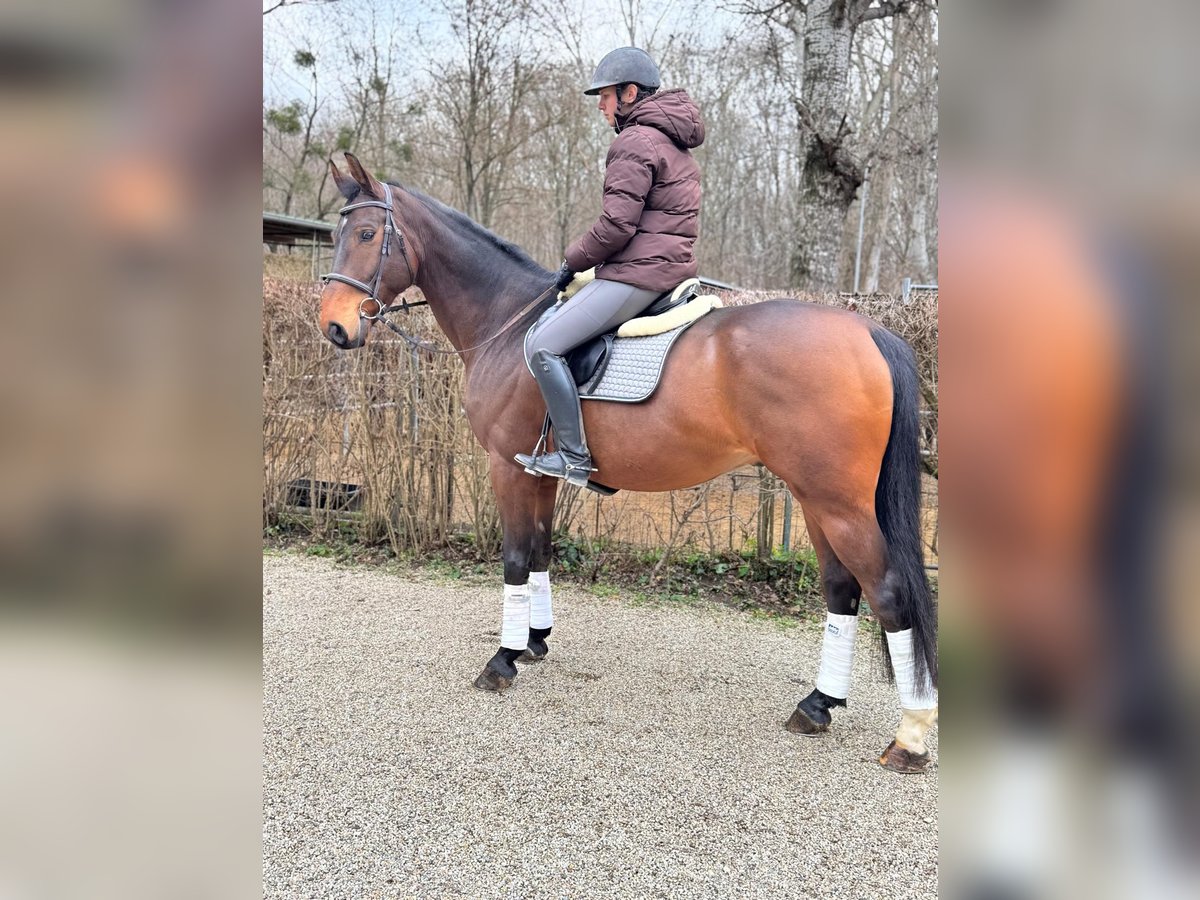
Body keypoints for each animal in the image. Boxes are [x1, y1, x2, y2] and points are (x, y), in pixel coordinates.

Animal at [319, 154, 936, 777]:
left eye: (367, 234)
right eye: (337, 234)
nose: (334, 326)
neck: (508, 322)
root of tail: (870, 329)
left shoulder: (506, 467)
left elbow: (515, 557)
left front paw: (502, 660)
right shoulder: (539, 472)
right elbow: (540, 551)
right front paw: (535, 641)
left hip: (837, 504)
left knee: (888, 593)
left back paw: (909, 737)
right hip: (814, 499)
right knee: (841, 590)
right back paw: (817, 705)